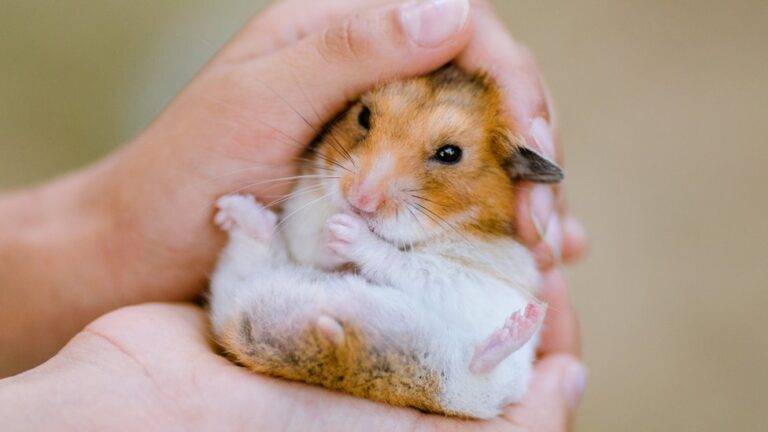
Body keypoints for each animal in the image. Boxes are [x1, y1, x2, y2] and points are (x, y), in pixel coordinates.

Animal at [208, 65, 564, 419]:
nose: (358, 200)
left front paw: (345, 230)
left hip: (483, 382)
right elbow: (310, 242)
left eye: (450, 154)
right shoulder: (302, 213)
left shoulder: (478, 280)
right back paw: (236, 212)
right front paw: (333, 229)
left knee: (480, 368)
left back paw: (523, 323)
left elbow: (409, 264)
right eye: (363, 116)